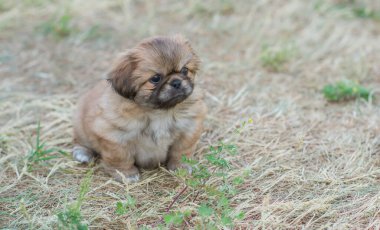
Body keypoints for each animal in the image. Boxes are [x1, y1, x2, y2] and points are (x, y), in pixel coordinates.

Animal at [72, 35, 206, 181]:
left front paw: (181, 166)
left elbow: (181, 151)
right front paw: (126, 174)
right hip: (81, 128)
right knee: (79, 141)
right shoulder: (114, 136)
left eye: (184, 70)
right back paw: (82, 153)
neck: (160, 112)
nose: (176, 82)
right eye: (156, 78)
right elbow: (121, 158)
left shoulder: (188, 130)